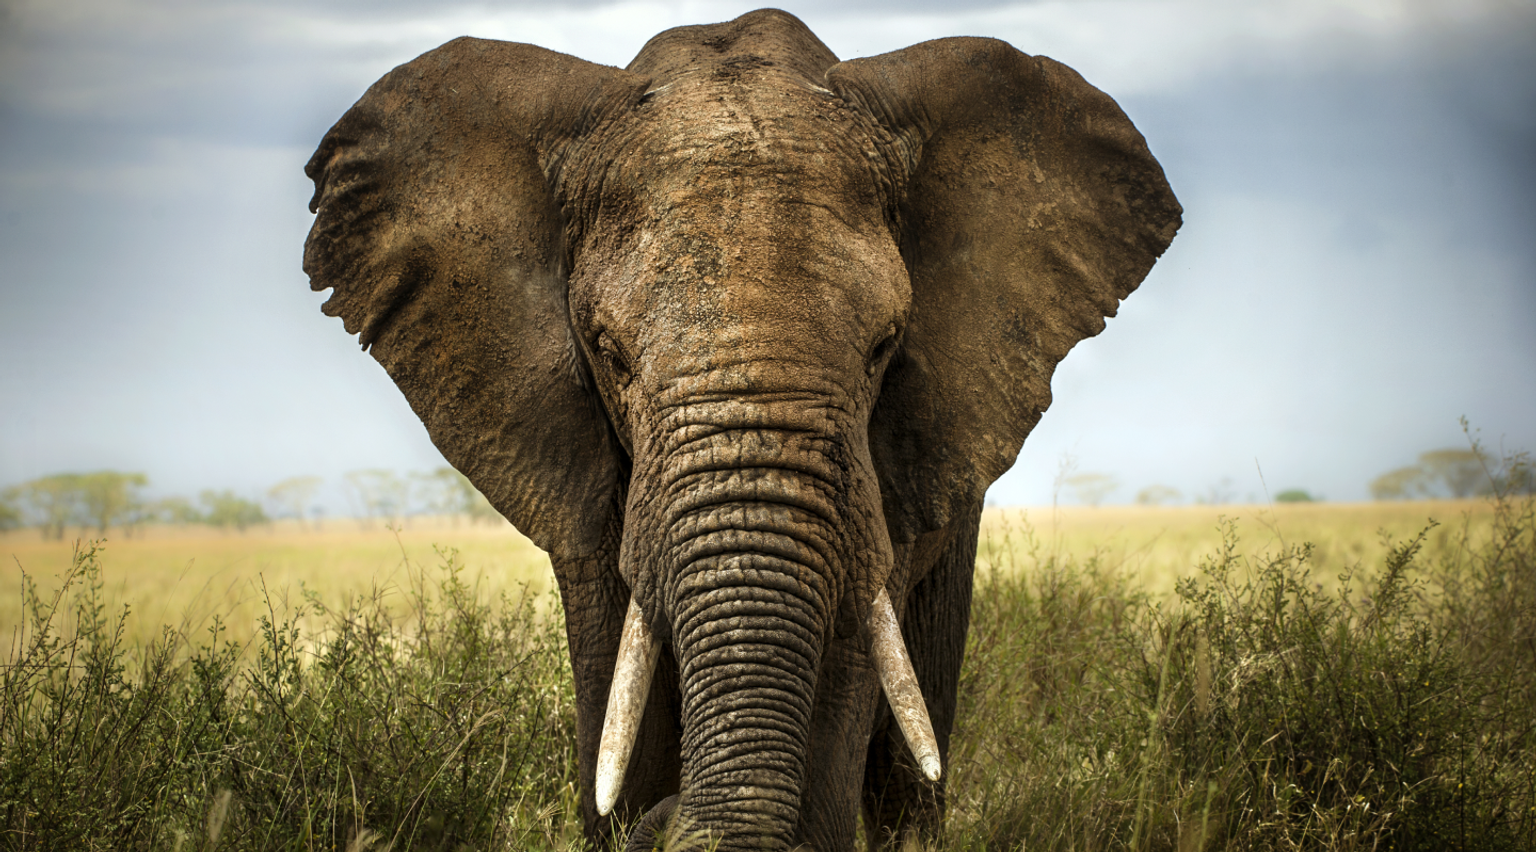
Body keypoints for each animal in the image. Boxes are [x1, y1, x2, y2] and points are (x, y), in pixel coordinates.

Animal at [303, 9, 1179, 850]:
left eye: (885, 346)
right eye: (609, 352)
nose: (674, 817)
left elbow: (847, 668)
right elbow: (615, 680)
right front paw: (630, 809)